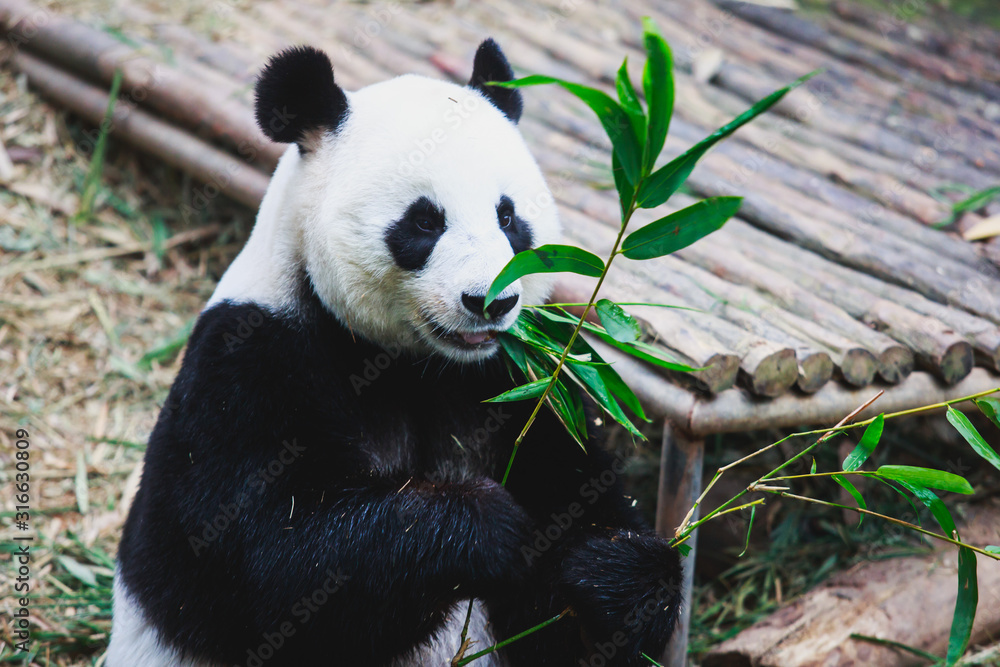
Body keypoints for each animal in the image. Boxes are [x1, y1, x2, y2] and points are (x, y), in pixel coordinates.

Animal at [108, 39, 682, 667]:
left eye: (508, 216)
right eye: (425, 221)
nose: (491, 301)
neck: (411, 363)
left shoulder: (522, 384)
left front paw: (611, 575)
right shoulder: (249, 364)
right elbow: (267, 564)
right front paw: (486, 528)